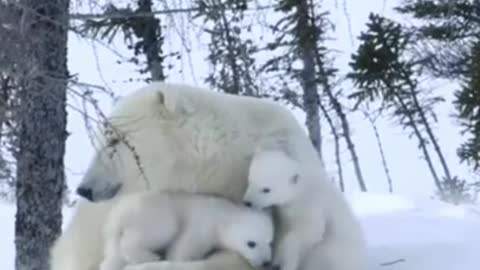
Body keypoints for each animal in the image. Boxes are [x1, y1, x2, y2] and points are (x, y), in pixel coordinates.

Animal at [100, 191, 274, 270]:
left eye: (270, 242)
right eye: (251, 243)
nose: (267, 263)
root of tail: (120, 214)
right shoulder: (202, 226)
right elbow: (182, 248)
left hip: (112, 237)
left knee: (112, 257)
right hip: (154, 216)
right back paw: (149, 257)